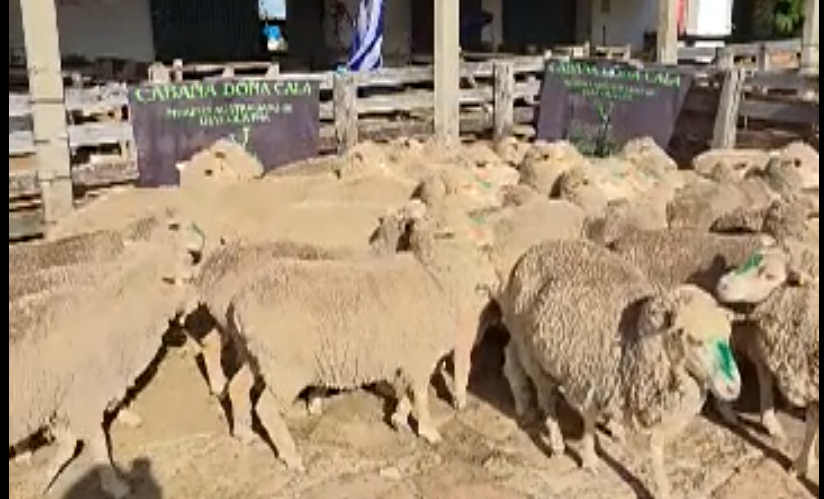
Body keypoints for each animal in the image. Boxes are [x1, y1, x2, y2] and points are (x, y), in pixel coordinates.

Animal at [8, 215, 204, 498]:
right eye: (173, 226)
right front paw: (115, 485)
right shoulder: (81, 395)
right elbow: (97, 444)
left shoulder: (68, 398)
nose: (200, 301)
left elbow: (69, 443)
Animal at [221, 210, 498, 471]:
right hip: (285, 368)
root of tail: (241, 302)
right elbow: (420, 395)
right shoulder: (420, 355)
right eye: (483, 248)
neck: (434, 277)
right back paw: (292, 457)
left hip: (256, 356)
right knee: (266, 408)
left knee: (237, 386)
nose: (496, 283)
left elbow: (410, 393)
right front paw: (429, 431)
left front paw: (399, 419)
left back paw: (243, 433)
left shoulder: (411, 358)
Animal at [499, 239, 742, 499]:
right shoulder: (589, 379)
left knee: (512, 363)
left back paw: (525, 407)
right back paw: (555, 442)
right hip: (532, 354)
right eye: (695, 340)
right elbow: (588, 421)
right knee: (546, 396)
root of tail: (532, 251)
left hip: (522, 341)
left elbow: (655, 445)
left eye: (728, 336)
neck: (632, 333)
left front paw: (662, 487)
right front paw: (590, 460)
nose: (733, 388)